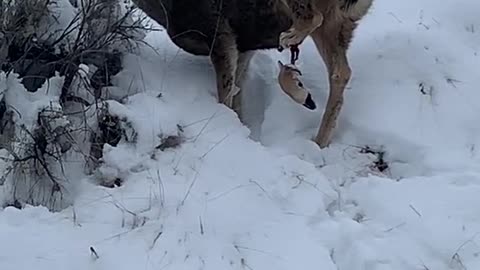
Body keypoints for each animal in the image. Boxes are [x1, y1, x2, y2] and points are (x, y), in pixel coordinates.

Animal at [131, 0, 376, 148]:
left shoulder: (219, 31)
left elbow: (225, 93)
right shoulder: (243, 43)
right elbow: (237, 92)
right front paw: (242, 127)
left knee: (314, 20)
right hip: (338, 25)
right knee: (341, 71)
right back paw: (319, 139)